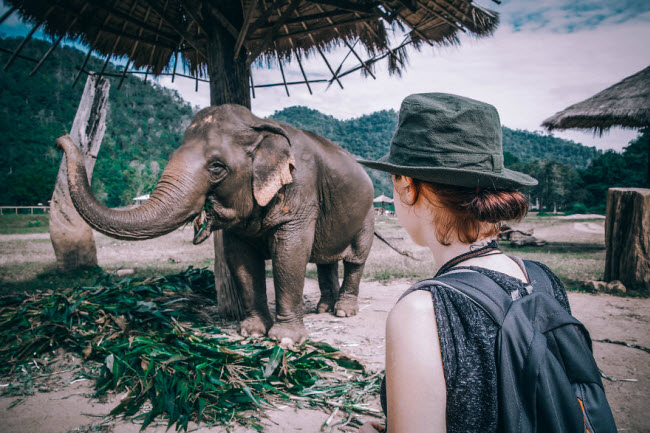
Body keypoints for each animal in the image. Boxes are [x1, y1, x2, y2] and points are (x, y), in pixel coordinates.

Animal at [57, 104, 374, 344]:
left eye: (217, 167)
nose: (61, 139)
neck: (260, 125)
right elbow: (241, 260)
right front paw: (251, 332)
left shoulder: (300, 191)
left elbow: (290, 254)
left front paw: (284, 339)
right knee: (325, 260)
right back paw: (323, 309)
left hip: (368, 214)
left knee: (355, 259)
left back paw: (343, 312)